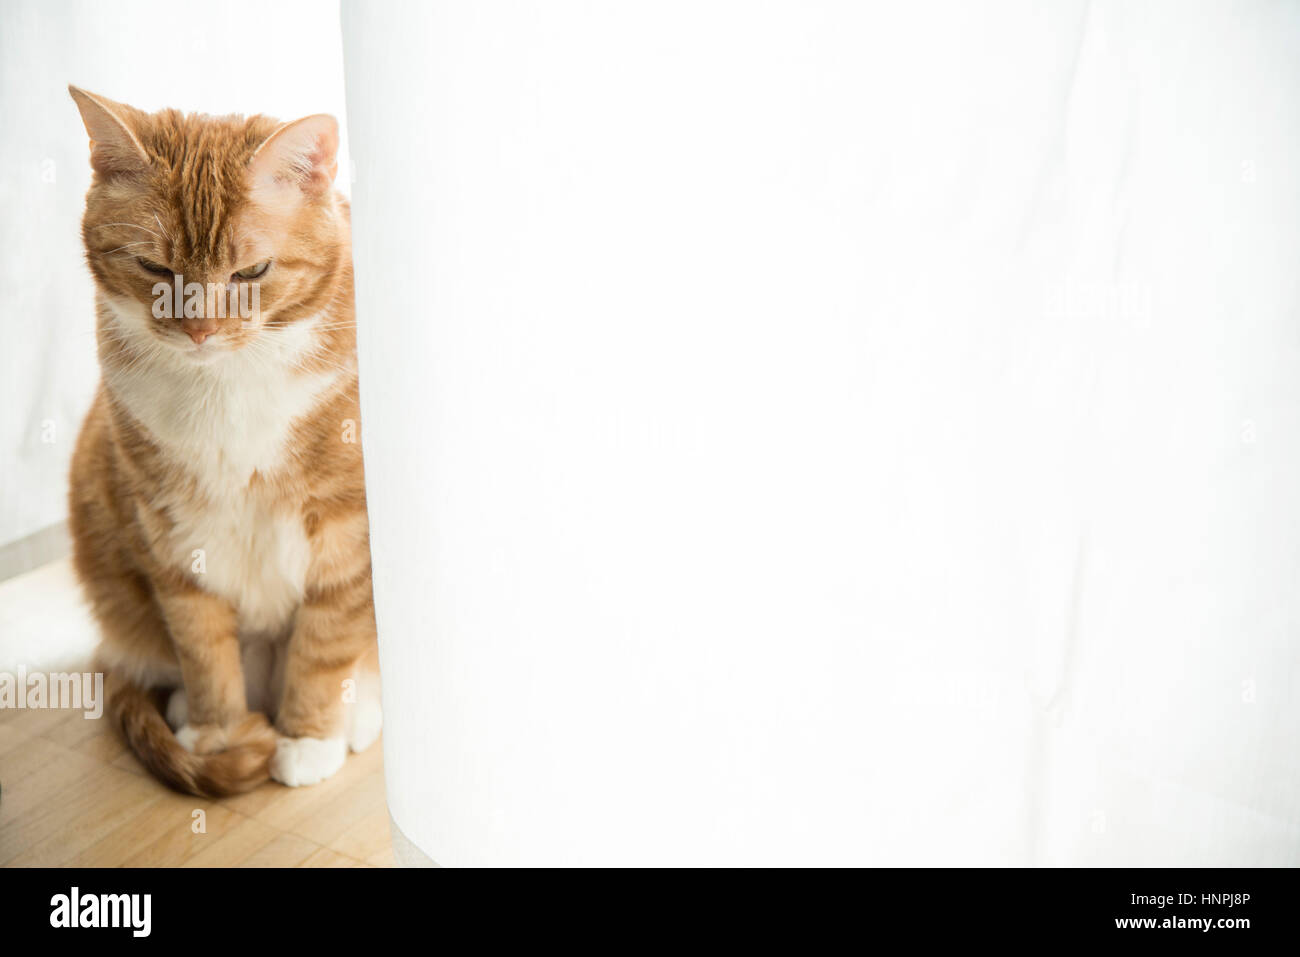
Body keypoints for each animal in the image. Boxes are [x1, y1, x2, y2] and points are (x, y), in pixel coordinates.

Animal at [66, 85, 379, 795]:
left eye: (252, 272)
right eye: (154, 267)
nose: (200, 330)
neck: (227, 384)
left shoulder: (350, 529)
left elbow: (325, 642)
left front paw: (308, 737)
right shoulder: (169, 526)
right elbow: (202, 644)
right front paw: (220, 734)